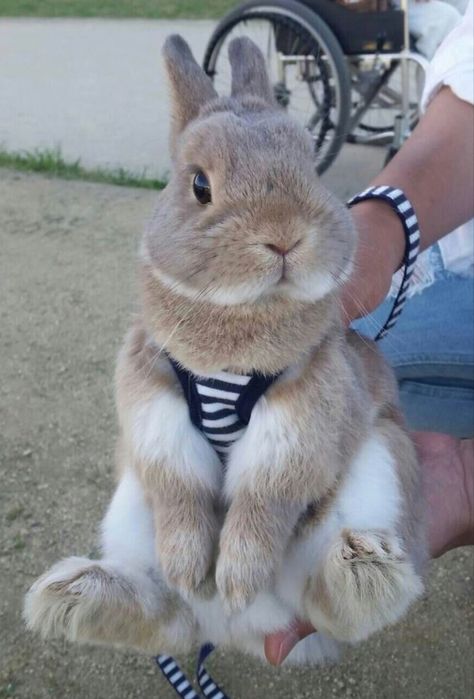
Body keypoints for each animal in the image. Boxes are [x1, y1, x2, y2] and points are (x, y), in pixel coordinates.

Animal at [24, 34, 426, 668]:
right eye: (200, 185)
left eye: (309, 169)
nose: (284, 236)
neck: (236, 335)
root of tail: (240, 631)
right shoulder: (153, 402)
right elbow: (181, 486)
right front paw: (193, 569)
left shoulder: (303, 414)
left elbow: (264, 494)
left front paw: (235, 576)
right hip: (129, 508)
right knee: (170, 618)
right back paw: (74, 596)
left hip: (380, 465)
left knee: (325, 603)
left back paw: (359, 572)